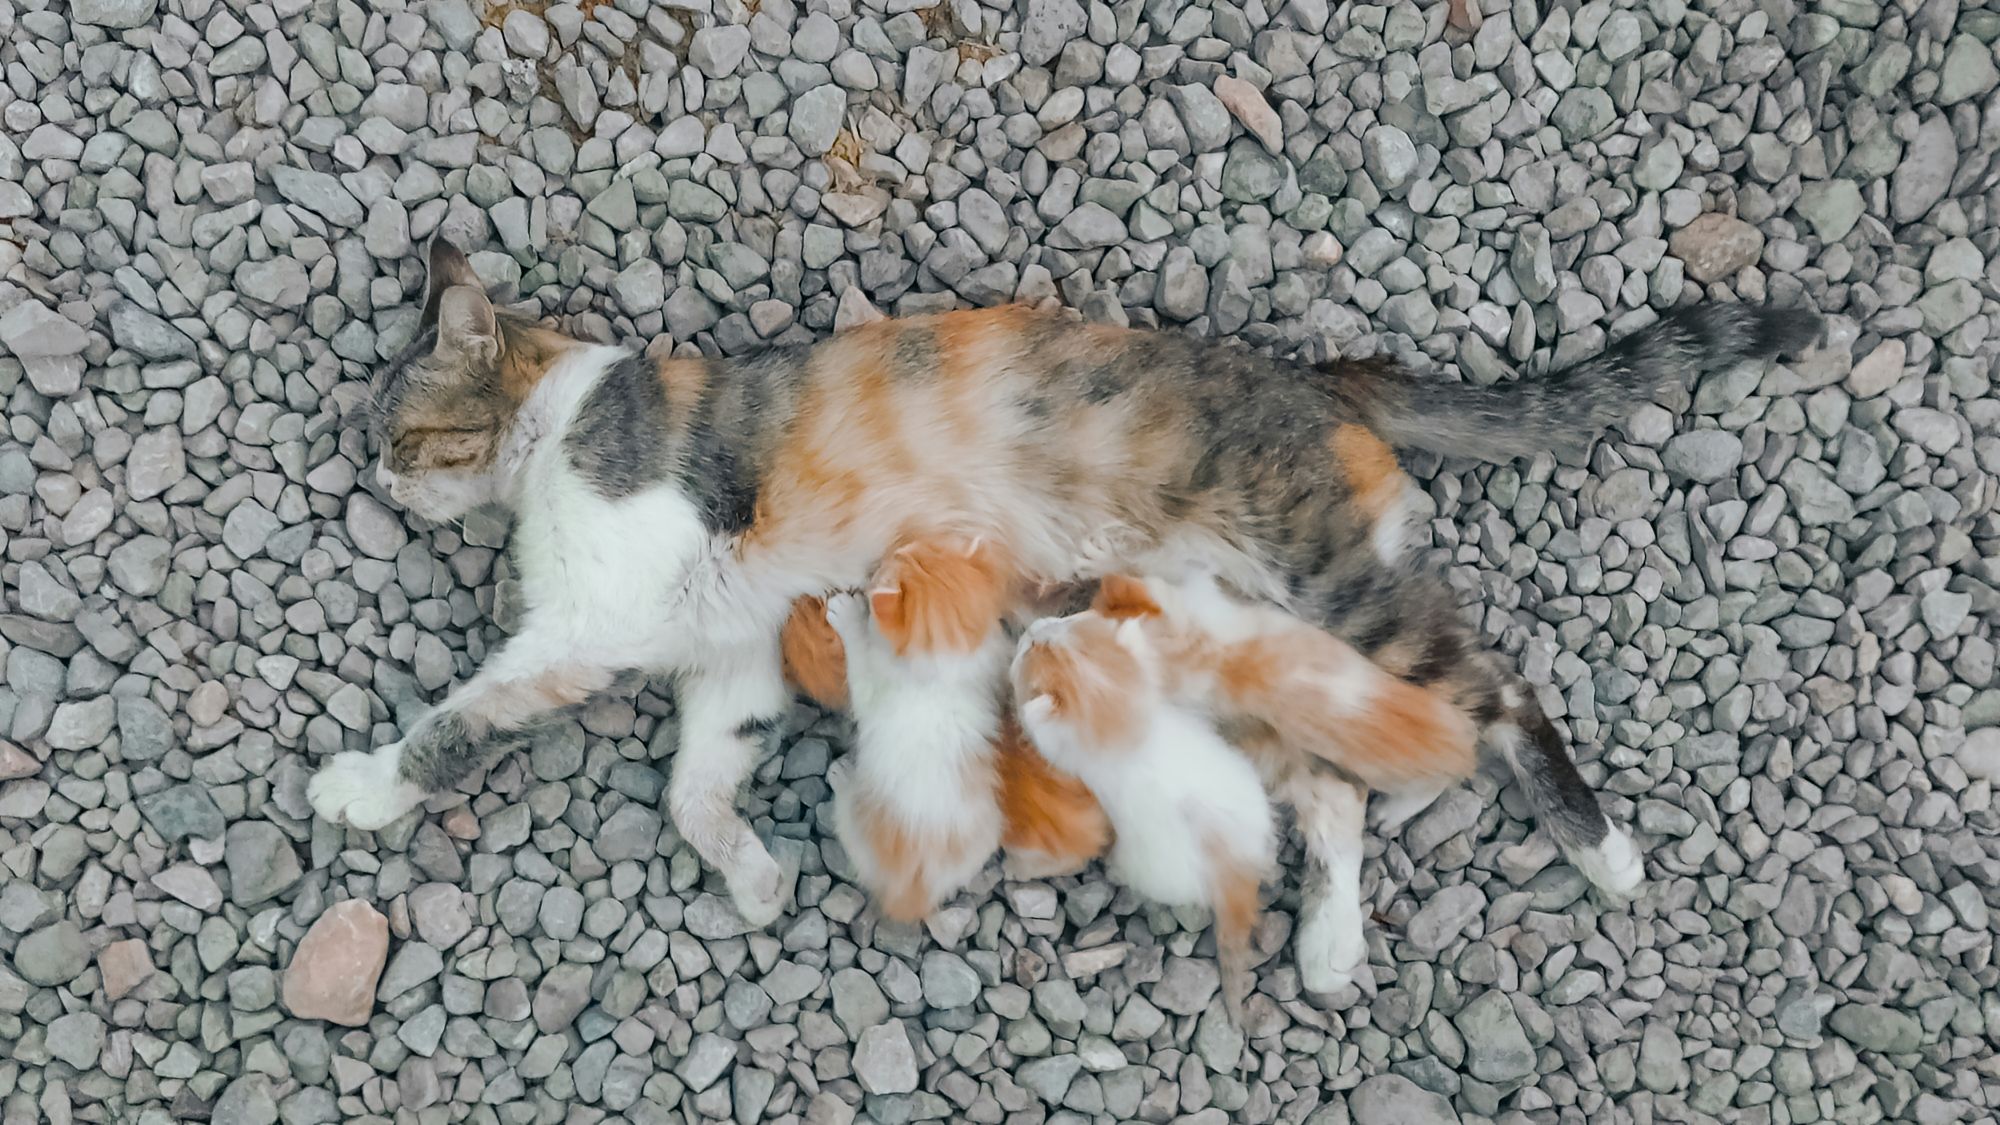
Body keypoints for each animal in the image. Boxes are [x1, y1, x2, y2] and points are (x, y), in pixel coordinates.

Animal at [308, 232, 1816, 932]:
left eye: (398, 430)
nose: (371, 478)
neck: (561, 416)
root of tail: (1327, 375)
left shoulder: (591, 619)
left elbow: (459, 721)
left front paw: (367, 785)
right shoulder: (725, 654)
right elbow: (696, 784)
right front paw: (749, 874)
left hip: (1345, 593)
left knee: (1496, 689)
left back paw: (1604, 852)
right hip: (1242, 645)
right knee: (1331, 790)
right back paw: (1328, 950)